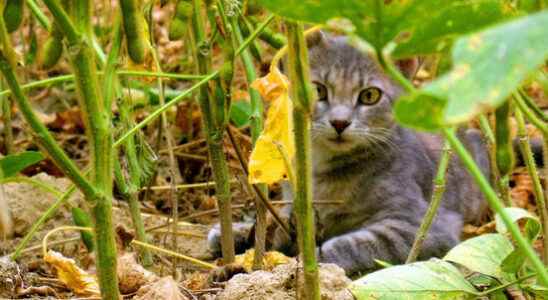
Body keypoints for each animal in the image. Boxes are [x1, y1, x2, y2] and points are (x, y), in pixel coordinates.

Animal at [210, 32, 492, 276]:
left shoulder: (425, 226)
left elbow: (355, 243)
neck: (321, 169)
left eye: (370, 95)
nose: (339, 122)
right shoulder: (296, 204)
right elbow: (278, 218)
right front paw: (240, 232)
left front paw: (312, 260)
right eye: (319, 90)